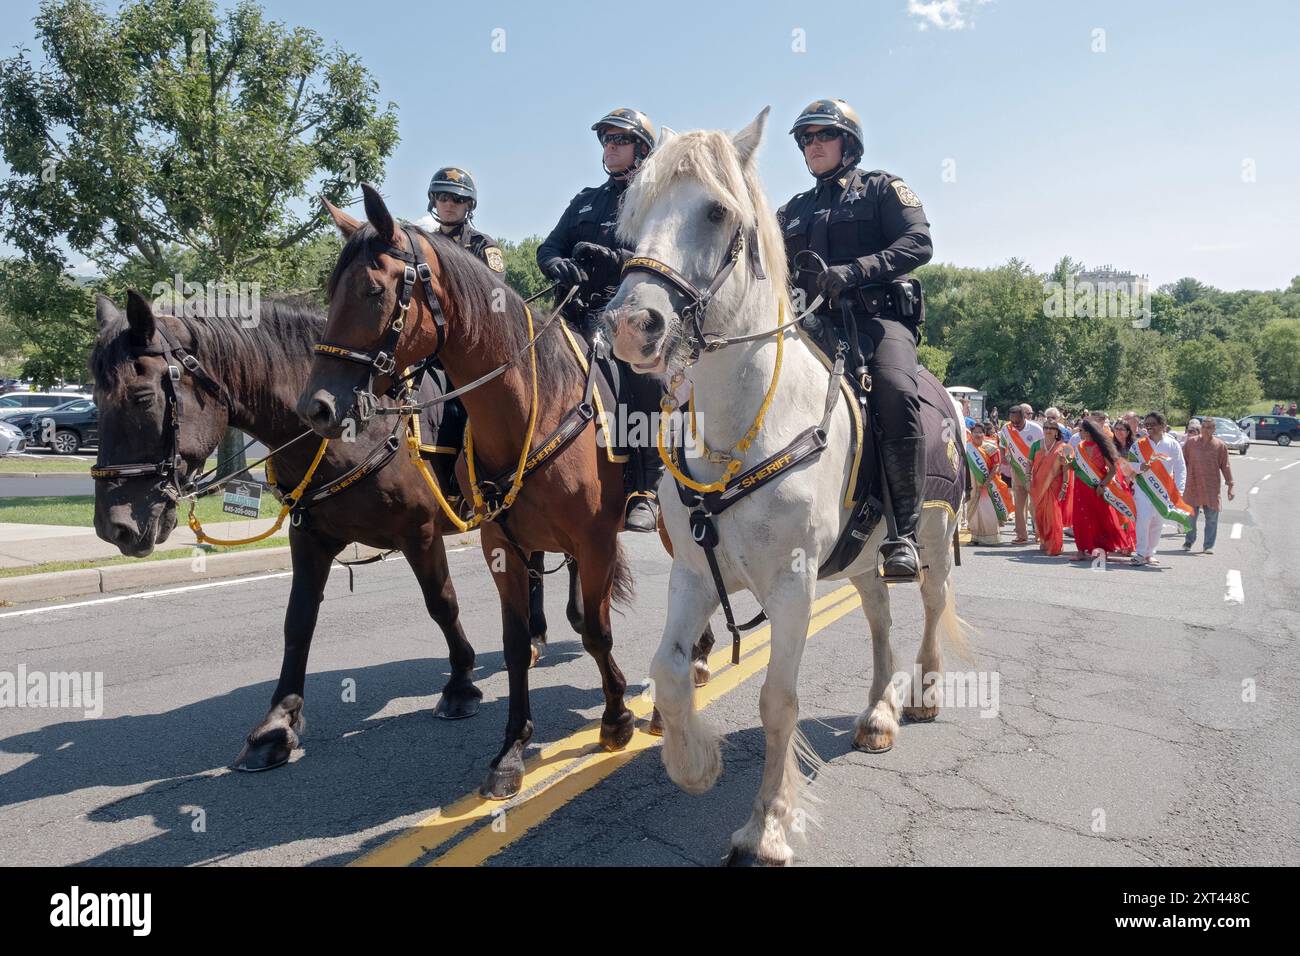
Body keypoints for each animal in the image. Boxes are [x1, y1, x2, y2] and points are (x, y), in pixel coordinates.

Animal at [297, 188, 717, 801]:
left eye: (374, 291)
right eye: (331, 292)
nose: (318, 408)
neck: (527, 410)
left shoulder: (594, 544)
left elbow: (597, 632)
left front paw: (616, 718)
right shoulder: (503, 545)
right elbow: (518, 643)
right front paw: (512, 749)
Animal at [605, 110, 967, 868]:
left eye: (717, 210)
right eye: (634, 215)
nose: (630, 324)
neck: (740, 428)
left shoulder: (793, 582)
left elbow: (778, 701)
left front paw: (767, 827)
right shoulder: (694, 574)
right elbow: (670, 672)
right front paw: (696, 763)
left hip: (934, 539)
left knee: (928, 609)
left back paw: (921, 695)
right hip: (860, 563)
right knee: (881, 622)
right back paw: (878, 715)